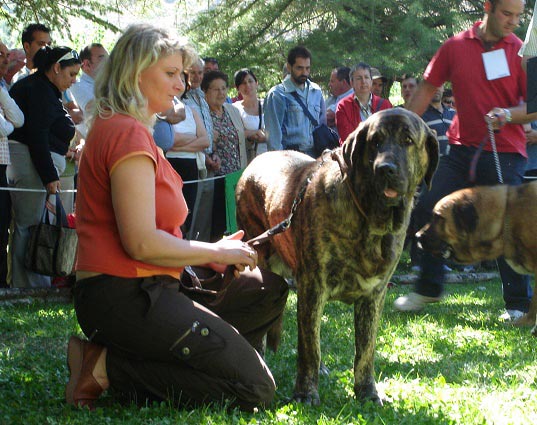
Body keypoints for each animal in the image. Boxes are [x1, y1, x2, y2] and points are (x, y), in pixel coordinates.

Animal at [237, 109, 438, 404]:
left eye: (408, 140)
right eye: (375, 142)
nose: (385, 169)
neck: (369, 219)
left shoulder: (373, 296)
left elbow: (365, 350)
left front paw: (367, 392)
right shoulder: (313, 286)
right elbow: (309, 348)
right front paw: (305, 393)